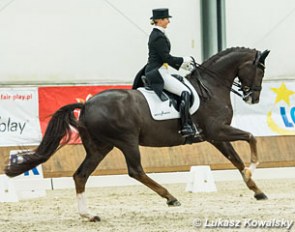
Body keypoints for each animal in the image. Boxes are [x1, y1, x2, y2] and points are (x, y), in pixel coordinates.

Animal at [4, 46, 270, 221]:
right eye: (260, 70)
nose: (253, 98)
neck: (211, 87)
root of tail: (87, 104)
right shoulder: (218, 130)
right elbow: (251, 137)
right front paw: (253, 168)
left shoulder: (215, 136)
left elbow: (236, 159)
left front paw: (257, 190)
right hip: (126, 141)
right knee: (135, 171)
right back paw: (170, 197)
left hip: (100, 147)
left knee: (81, 175)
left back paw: (88, 214)